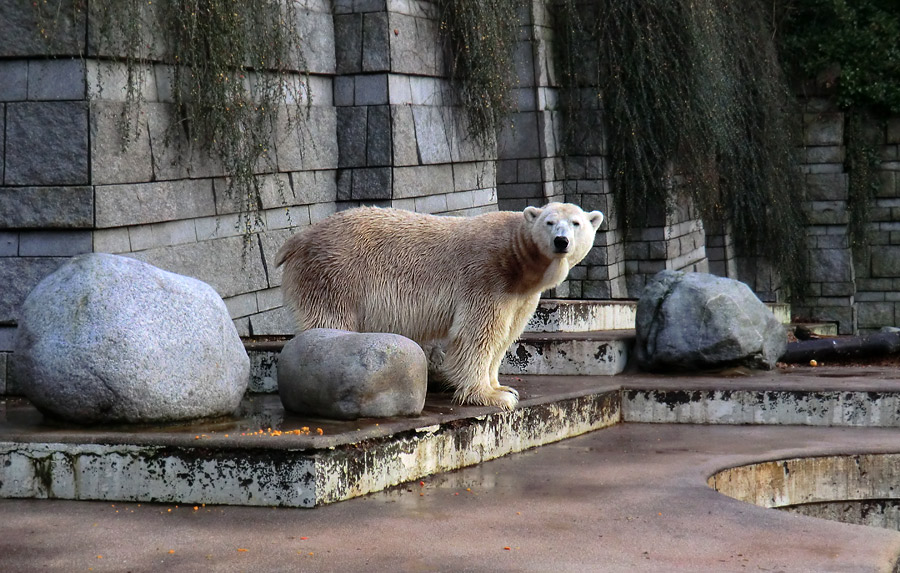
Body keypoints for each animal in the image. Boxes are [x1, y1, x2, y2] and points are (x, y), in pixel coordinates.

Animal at [274, 203, 604, 408]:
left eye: (576, 223)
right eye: (550, 222)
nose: (561, 241)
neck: (516, 259)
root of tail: (298, 239)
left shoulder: (521, 295)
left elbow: (505, 335)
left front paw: (503, 387)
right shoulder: (486, 276)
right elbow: (478, 334)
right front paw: (490, 396)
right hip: (335, 274)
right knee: (330, 322)